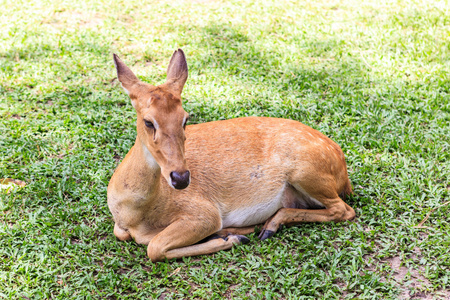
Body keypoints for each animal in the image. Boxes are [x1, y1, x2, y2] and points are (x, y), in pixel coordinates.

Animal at [108, 49, 356, 262]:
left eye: (185, 118)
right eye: (148, 121)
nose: (181, 178)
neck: (135, 215)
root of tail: (343, 172)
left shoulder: (204, 212)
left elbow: (154, 247)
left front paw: (233, 239)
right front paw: (231, 236)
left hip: (306, 170)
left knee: (343, 210)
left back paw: (262, 228)